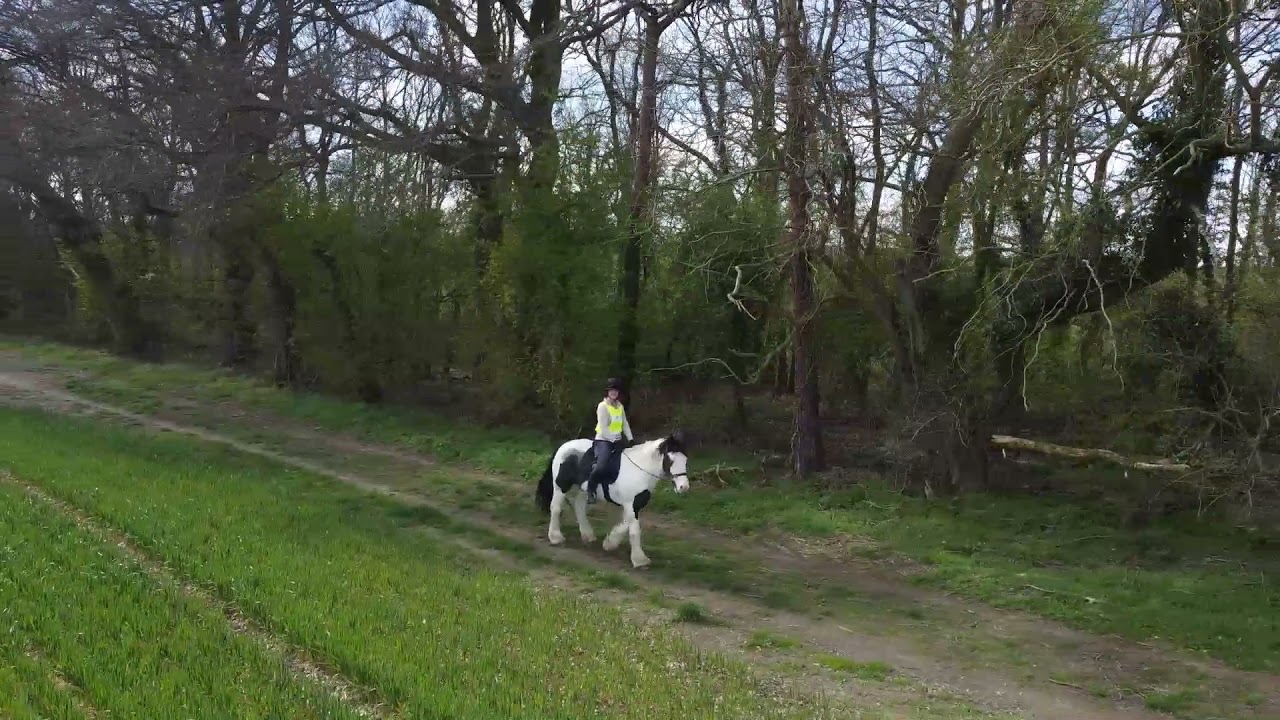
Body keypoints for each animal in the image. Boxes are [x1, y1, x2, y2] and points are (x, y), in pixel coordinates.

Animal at [534, 431, 690, 568]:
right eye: (670, 460)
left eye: (685, 460)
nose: (684, 487)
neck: (639, 471)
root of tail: (564, 446)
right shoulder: (631, 504)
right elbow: (634, 530)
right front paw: (639, 560)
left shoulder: (634, 505)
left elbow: (625, 524)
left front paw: (610, 543)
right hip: (561, 486)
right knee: (555, 507)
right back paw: (556, 537)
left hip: (584, 489)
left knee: (579, 506)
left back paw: (587, 535)